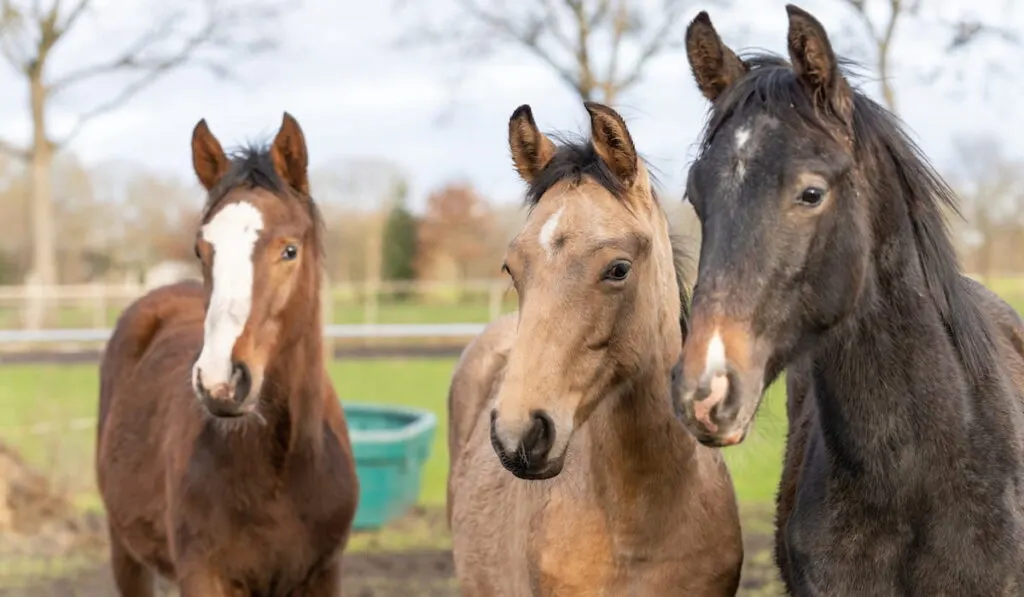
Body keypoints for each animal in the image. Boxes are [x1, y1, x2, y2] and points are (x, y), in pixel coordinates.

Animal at [96, 113, 358, 597]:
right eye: (202, 250)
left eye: (289, 250)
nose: (220, 382)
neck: (280, 468)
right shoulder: (203, 576)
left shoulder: (323, 574)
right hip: (125, 552)